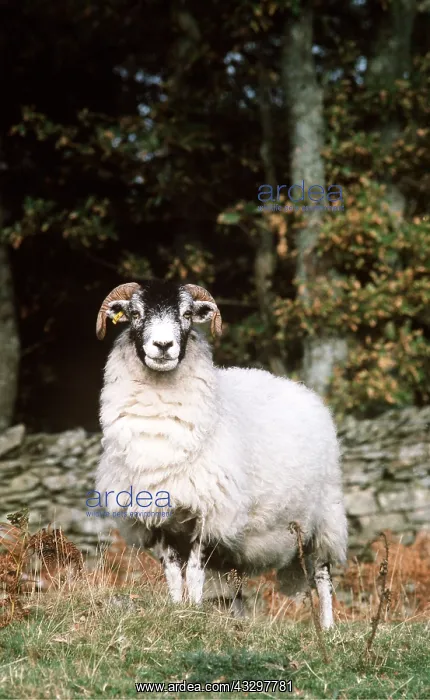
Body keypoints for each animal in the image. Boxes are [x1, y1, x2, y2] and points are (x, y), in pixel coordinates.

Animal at [96, 279, 347, 628]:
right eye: (135, 313)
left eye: (187, 314)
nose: (163, 345)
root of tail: (300, 388)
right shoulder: (161, 519)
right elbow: (173, 573)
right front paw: (177, 610)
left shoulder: (209, 515)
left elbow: (194, 572)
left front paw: (193, 612)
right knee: (236, 588)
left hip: (324, 519)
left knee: (323, 578)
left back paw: (327, 628)